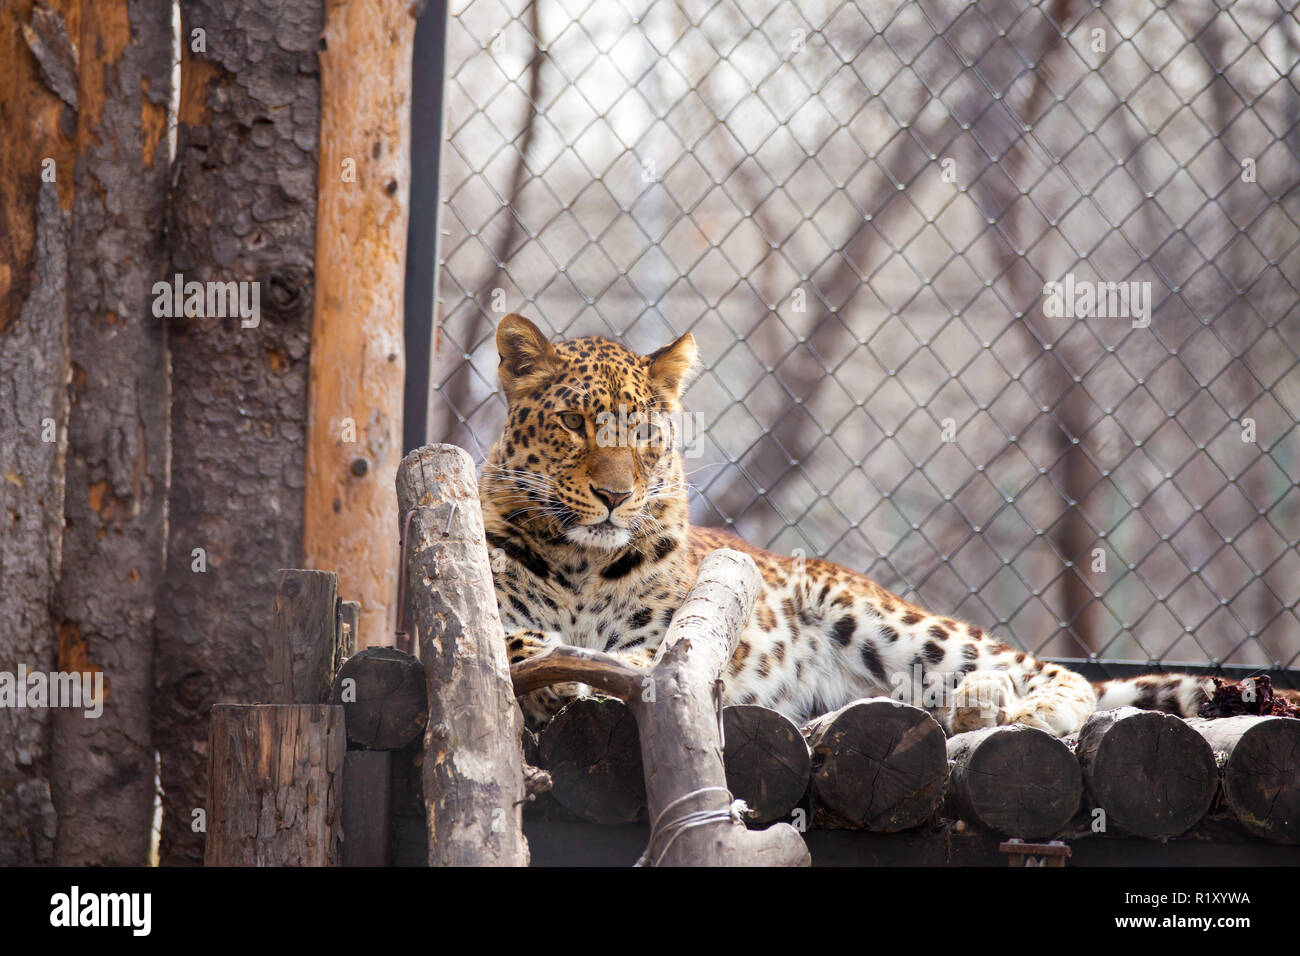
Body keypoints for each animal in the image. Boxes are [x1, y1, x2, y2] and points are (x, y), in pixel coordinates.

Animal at [480, 312, 1215, 736]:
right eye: (573, 422)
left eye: (641, 432)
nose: (614, 495)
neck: (584, 565)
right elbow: (517, 646)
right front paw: (559, 670)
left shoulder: (677, 637)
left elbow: (637, 659)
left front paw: (593, 671)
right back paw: (977, 704)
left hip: (877, 617)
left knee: (1049, 671)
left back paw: (1024, 706)